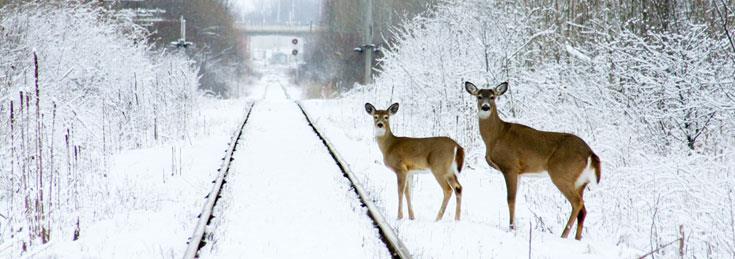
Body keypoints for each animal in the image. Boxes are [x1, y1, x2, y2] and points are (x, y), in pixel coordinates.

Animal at [466, 82, 604, 242]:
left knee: (577, 203)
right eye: (479, 96)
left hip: (562, 174)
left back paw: (563, 235)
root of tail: (590, 153)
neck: (496, 136)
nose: (485, 107)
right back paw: (577, 238)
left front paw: (511, 228)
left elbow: (510, 199)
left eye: (493, 97)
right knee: (583, 210)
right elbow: (515, 198)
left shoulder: (510, 166)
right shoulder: (519, 172)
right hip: (581, 182)